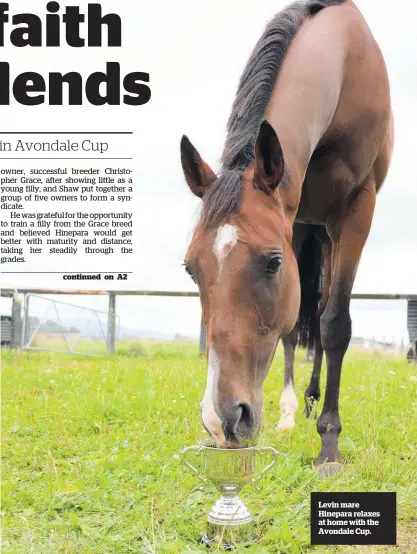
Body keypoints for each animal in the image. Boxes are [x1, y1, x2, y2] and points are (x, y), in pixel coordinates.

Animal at [180, 1, 394, 474]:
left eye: (272, 262)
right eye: (190, 268)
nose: (222, 419)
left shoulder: (358, 209)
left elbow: (335, 324)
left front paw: (329, 445)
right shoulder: (293, 220)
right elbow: (296, 326)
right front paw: (292, 414)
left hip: (328, 233)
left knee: (325, 312)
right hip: (308, 228)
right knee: (301, 324)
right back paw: (296, 408)